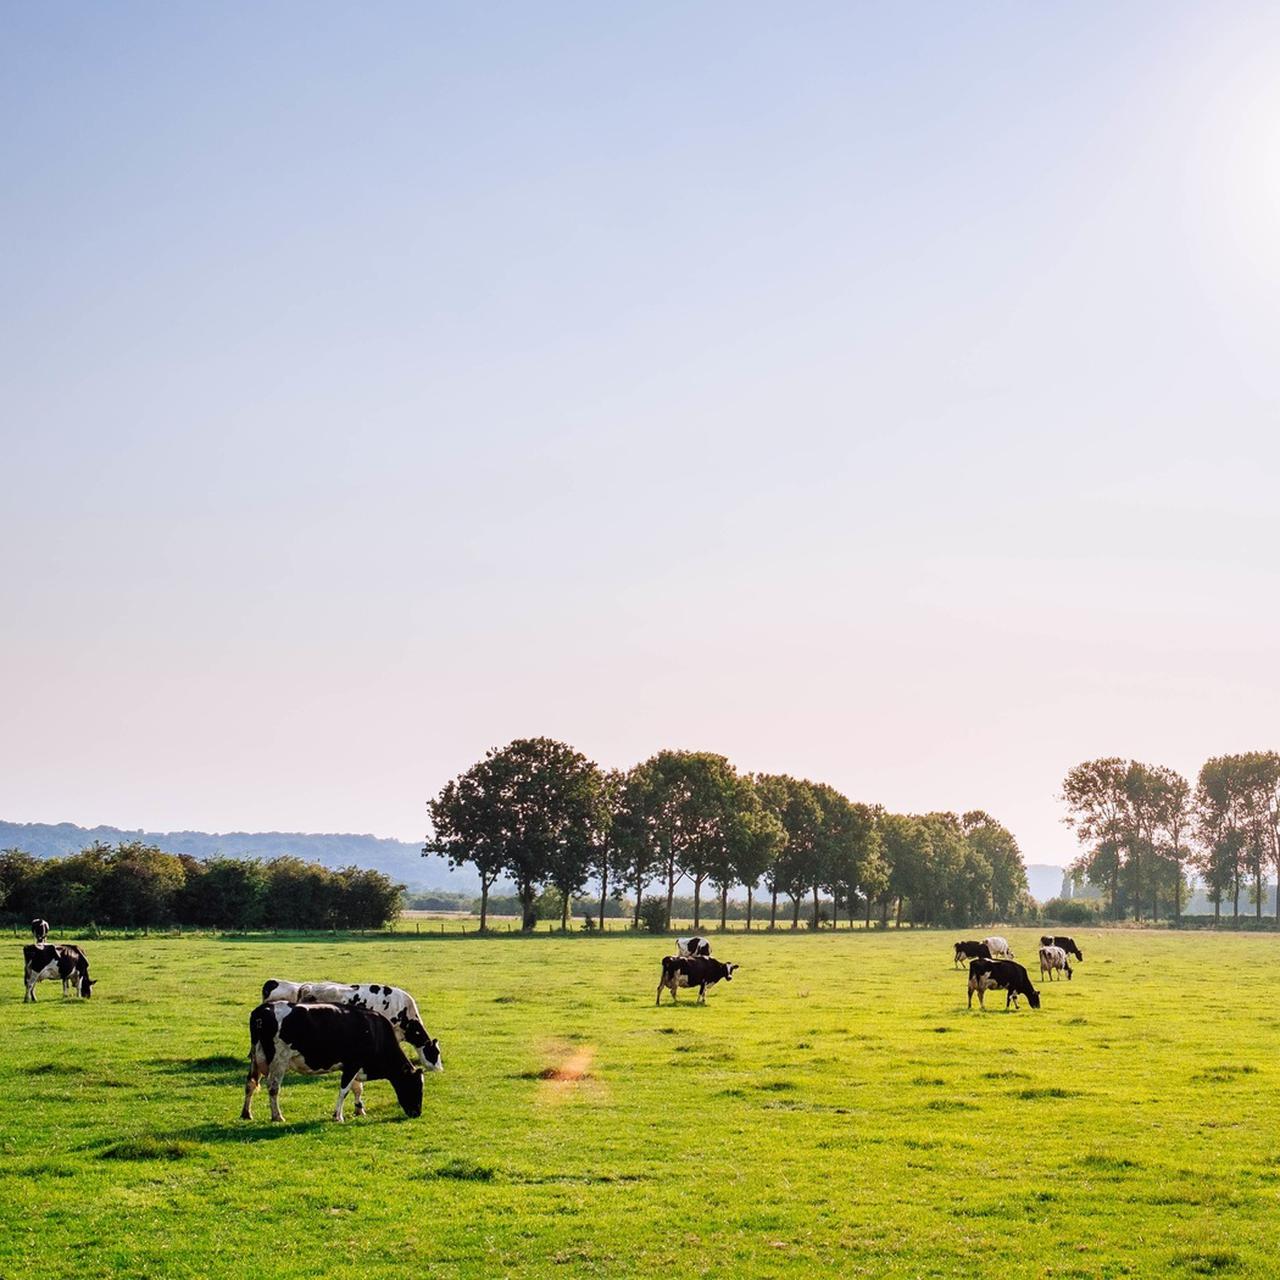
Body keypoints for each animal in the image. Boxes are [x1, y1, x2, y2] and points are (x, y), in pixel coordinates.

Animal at [244, 998, 430, 1121]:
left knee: (250, 1084)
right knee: (273, 1088)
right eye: (416, 1086)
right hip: (279, 1061)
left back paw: (246, 1113)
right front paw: (338, 1116)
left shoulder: (353, 1066)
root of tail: (262, 1010)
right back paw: (277, 1116)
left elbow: (357, 1089)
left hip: (255, 1058)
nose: (417, 1113)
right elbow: (344, 1090)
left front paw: (359, 1110)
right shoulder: (352, 1064)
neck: (374, 1031)